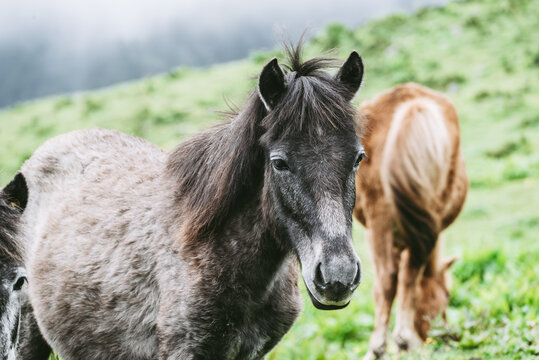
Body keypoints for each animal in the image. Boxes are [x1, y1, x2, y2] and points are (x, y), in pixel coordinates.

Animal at [354, 83, 468, 358]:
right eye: (447, 294)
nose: (449, 336)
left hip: (381, 219)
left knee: (389, 277)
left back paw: (383, 346)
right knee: (404, 274)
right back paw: (403, 342)